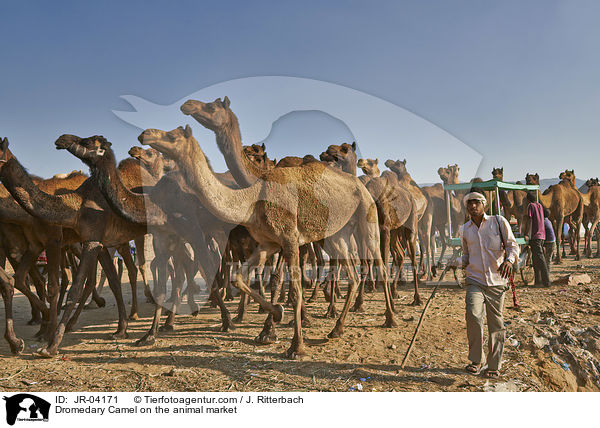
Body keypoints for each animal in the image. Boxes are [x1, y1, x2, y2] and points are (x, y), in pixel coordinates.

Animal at [140, 123, 394, 358]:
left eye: (172, 136)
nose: (145, 134)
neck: (251, 200)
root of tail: (359, 184)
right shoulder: (267, 243)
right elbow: (239, 277)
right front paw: (277, 313)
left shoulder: (290, 240)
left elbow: (295, 291)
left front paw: (296, 346)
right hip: (334, 235)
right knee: (351, 273)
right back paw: (337, 329)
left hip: (367, 216)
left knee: (378, 261)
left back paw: (390, 318)